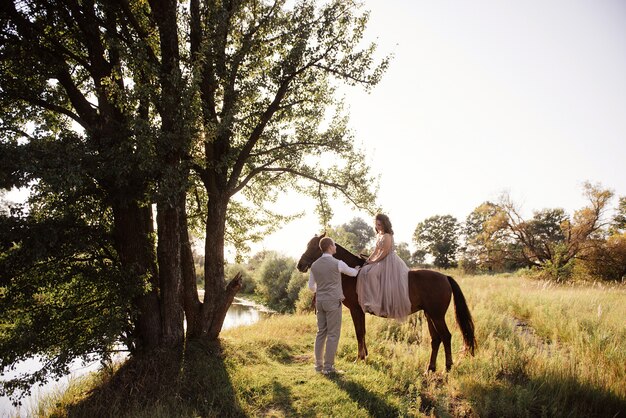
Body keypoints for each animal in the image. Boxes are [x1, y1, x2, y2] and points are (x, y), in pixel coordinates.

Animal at [294, 232, 476, 372]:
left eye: (314, 247)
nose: (300, 265)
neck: (353, 275)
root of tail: (445, 277)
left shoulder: (356, 310)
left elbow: (359, 333)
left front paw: (359, 358)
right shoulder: (360, 311)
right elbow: (363, 332)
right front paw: (364, 356)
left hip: (437, 316)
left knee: (446, 336)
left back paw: (447, 368)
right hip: (429, 315)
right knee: (436, 339)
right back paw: (430, 368)